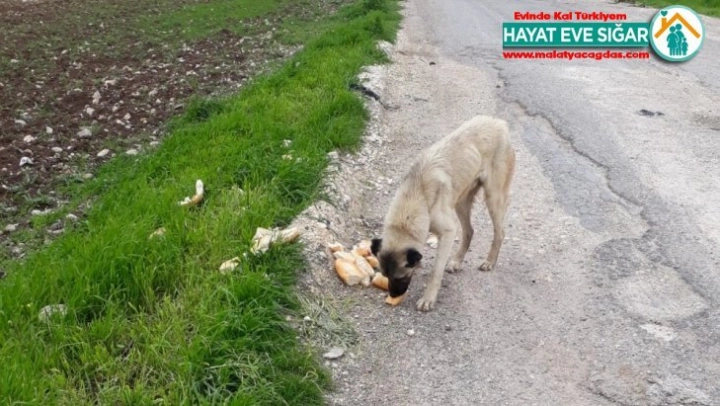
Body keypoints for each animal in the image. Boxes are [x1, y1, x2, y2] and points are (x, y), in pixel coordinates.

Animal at [370, 115, 516, 312]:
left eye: (401, 277)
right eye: (385, 276)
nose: (393, 295)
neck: (416, 195)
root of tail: (499, 122)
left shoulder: (448, 232)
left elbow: (435, 272)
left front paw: (428, 298)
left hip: (493, 198)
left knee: (500, 232)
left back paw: (489, 261)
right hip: (462, 201)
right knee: (469, 231)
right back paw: (456, 261)